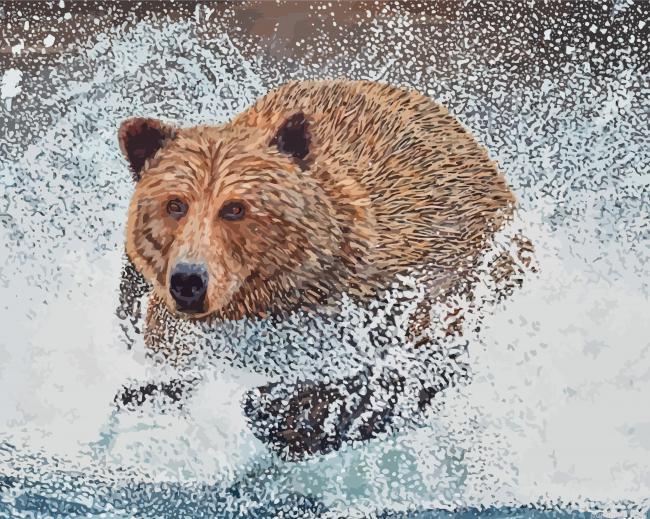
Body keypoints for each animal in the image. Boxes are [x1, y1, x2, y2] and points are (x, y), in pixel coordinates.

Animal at [115, 80, 534, 460]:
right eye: (175, 204)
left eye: (234, 208)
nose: (188, 281)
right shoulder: (177, 331)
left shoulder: (402, 288)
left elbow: (407, 369)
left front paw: (282, 412)